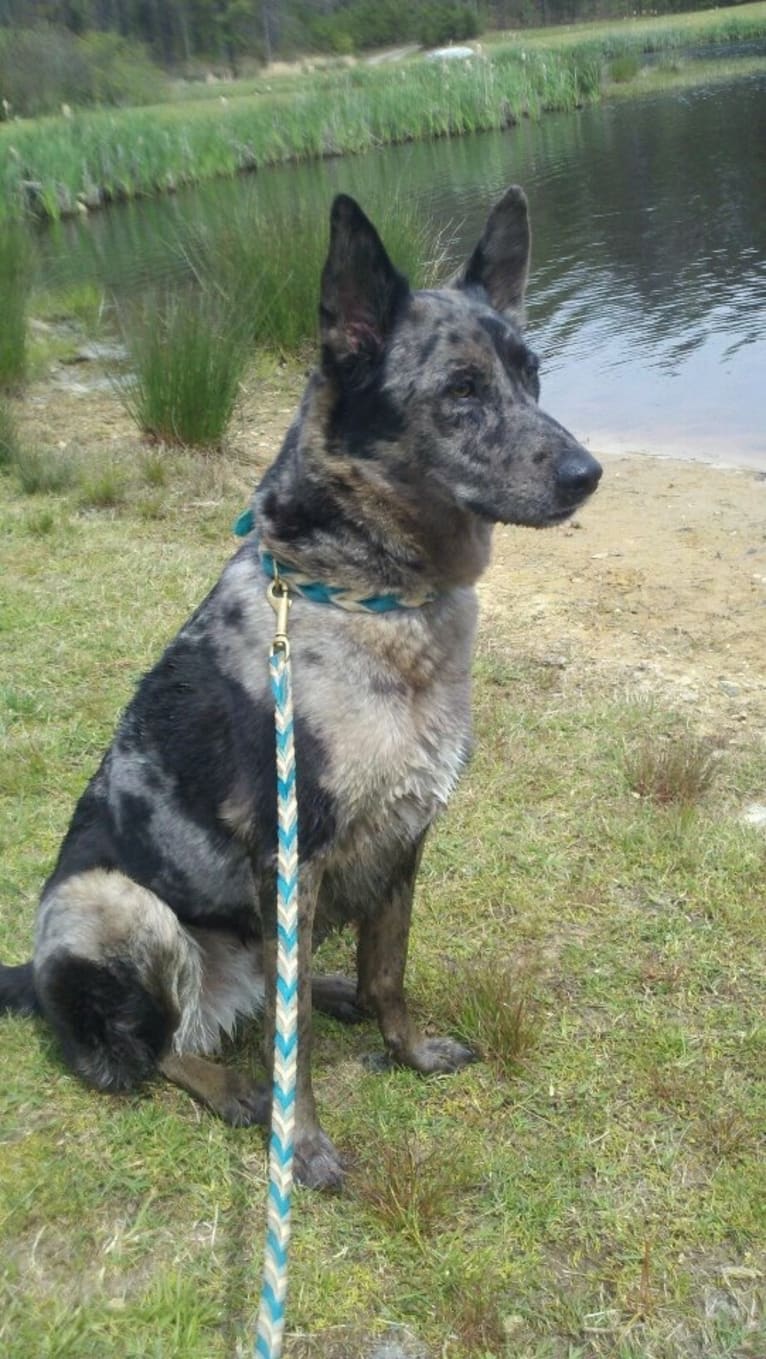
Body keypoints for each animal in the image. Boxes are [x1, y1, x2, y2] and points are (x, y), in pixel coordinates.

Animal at [0, 186, 600, 1185]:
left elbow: (387, 971)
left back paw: (326, 988)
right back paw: (230, 1085)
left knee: (277, 987)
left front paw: (408, 1049)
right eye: (461, 391)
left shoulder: (402, 837)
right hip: (116, 903)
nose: (590, 475)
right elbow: (299, 1040)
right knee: (152, 1047)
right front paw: (305, 1143)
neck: (370, 595)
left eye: (533, 376)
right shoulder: (293, 853)